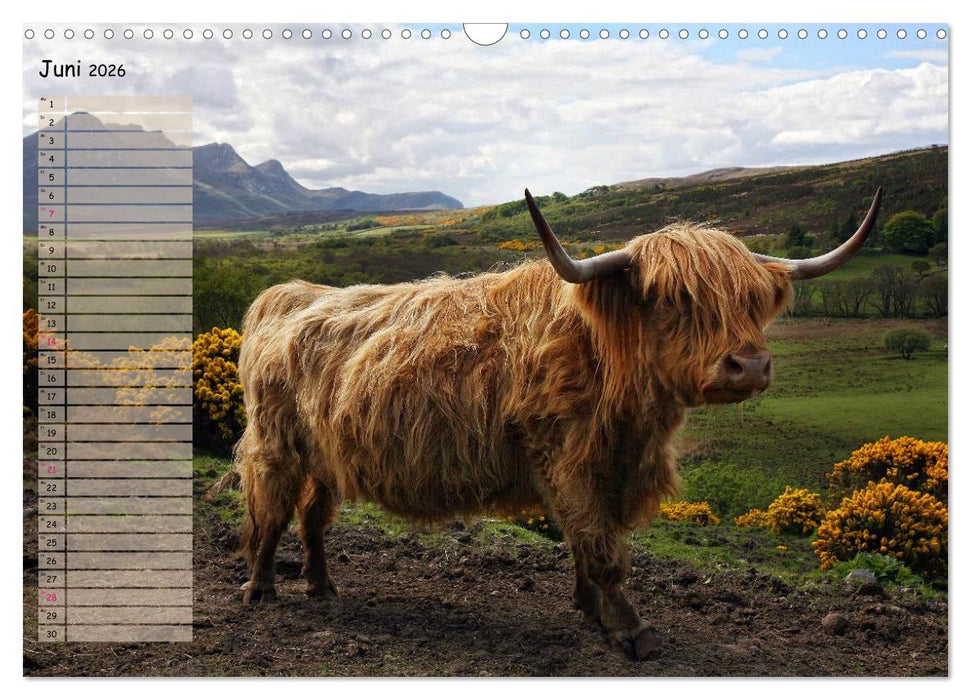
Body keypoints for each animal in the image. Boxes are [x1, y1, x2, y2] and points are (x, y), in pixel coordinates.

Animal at [235, 187, 882, 659]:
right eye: (676, 299)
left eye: (751, 301)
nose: (748, 365)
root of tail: (287, 294)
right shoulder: (567, 461)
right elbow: (601, 547)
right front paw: (629, 629)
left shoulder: (609, 466)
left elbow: (588, 541)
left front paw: (590, 610)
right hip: (277, 443)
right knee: (272, 513)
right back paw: (260, 589)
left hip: (326, 454)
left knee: (313, 516)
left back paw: (323, 586)